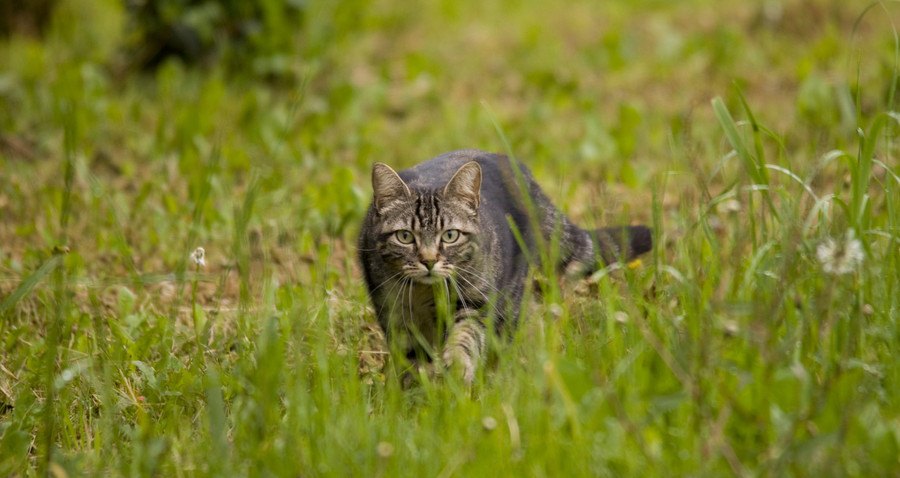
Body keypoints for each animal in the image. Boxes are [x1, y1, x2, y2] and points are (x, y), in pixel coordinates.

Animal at [356, 151, 652, 382]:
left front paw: (458, 367)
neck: (427, 293)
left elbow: (466, 336)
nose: (429, 261)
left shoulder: (476, 303)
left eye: (450, 235)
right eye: (405, 236)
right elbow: (411, 359)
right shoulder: (395, 314)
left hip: (511, 299)